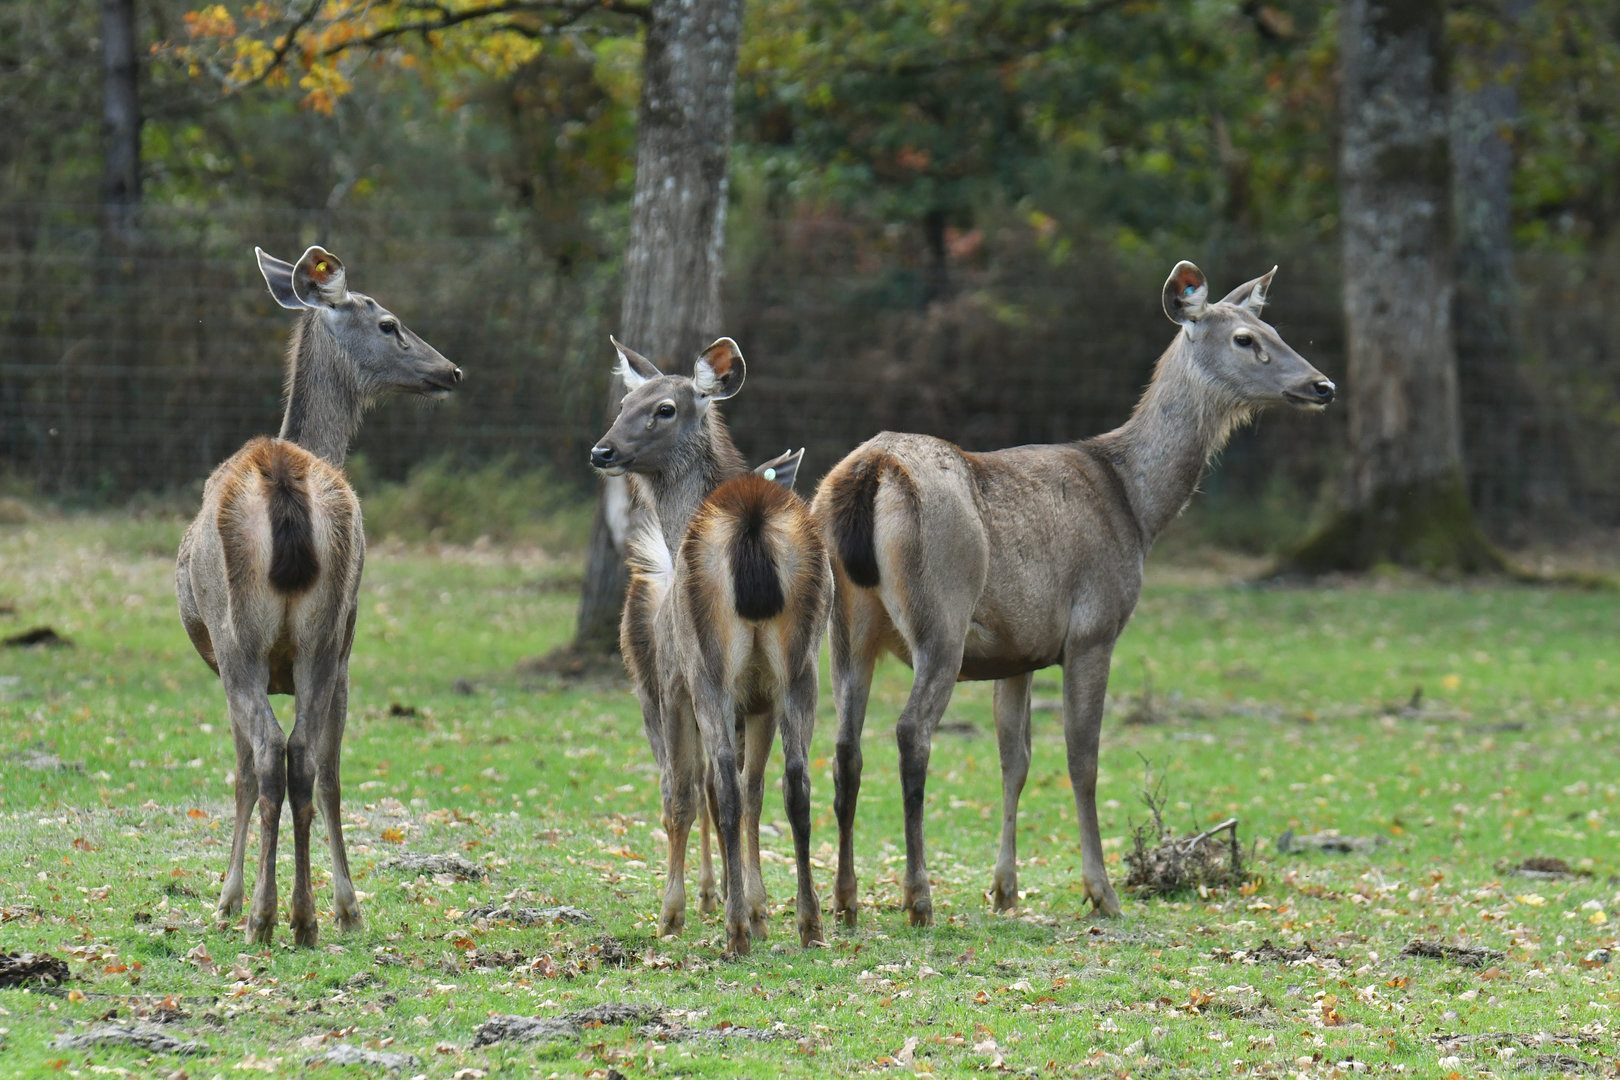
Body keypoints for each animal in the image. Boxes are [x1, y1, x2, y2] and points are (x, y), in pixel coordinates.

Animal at [175, 245, 462, 947]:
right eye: (389, 324)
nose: (451, 369)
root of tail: (283, 474)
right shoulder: (345, 651)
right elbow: (319, 769)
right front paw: (335, 904)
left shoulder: (259, 657)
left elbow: (249, 771)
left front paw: (229, 899)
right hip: (321, 632)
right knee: (301, 755)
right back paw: (298, 916)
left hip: (248, 636)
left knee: (271, 753)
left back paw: (270, 915)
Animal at [593, 337, 829, 956]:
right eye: (624, 402)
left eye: (664, 408)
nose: (602, 450)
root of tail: (751, 521)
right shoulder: (762, 695)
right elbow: (756, 792)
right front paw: (756, 905)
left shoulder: (678, 684)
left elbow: (684, 794)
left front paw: (674, 914)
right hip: (801, 665)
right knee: (795, 781)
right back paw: (808, 923)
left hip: (708, 667)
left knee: (715, 781)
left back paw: (734, 932)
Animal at [811, 261, 1335, 927]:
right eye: (1245, 338)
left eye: (1276, 328)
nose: (1323, 385)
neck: (1137, 508)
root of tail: (872, 470)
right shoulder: (1093, 628)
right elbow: (1082, 760)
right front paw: (1102, 891)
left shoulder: (1018, 650)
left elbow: (1015, 760)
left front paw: (1005, 890)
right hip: (942, 613)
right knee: (910, 733)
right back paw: (918, 897)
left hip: (846, 627)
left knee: (845, 745)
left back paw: (846, 900)